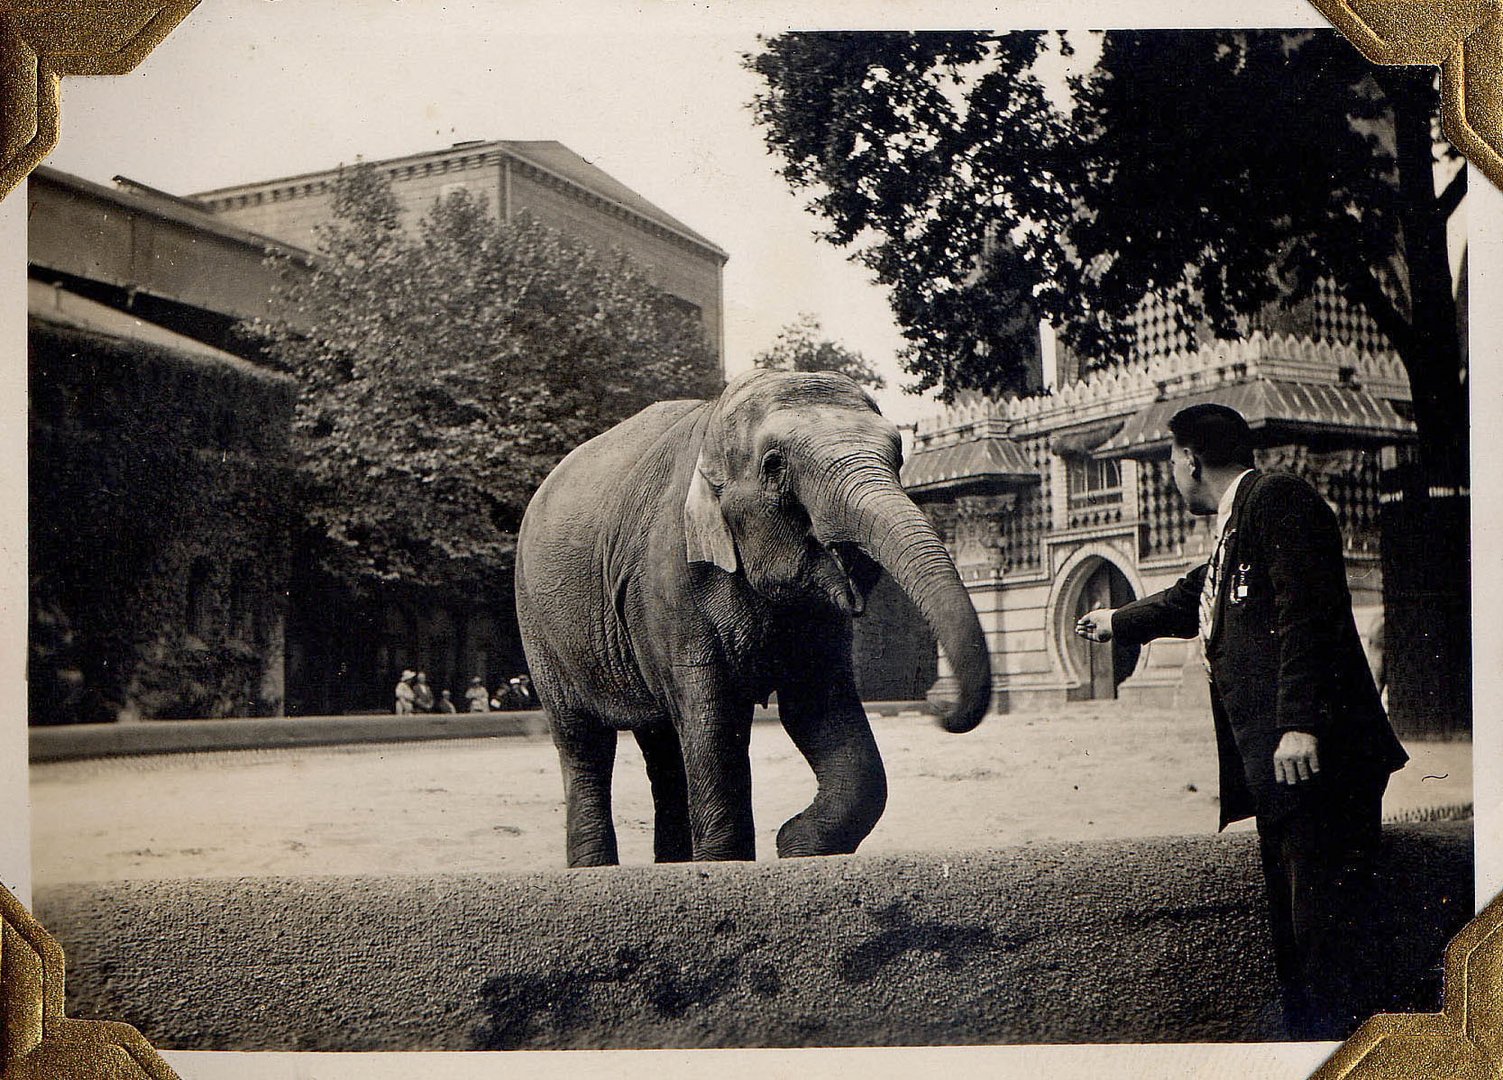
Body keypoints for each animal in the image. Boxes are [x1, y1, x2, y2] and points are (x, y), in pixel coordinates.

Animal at [517, 372, 997, 871]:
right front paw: (727, 864)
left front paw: (795, 846)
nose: (939, 709)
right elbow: (713, 717)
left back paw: (670, 867)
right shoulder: (668, 575)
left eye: (898, 457)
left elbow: (816, 708)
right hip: (537, 624)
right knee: (583, 741)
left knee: (661, 744)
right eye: (773, 464)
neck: (712, 429)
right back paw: (594, 870)